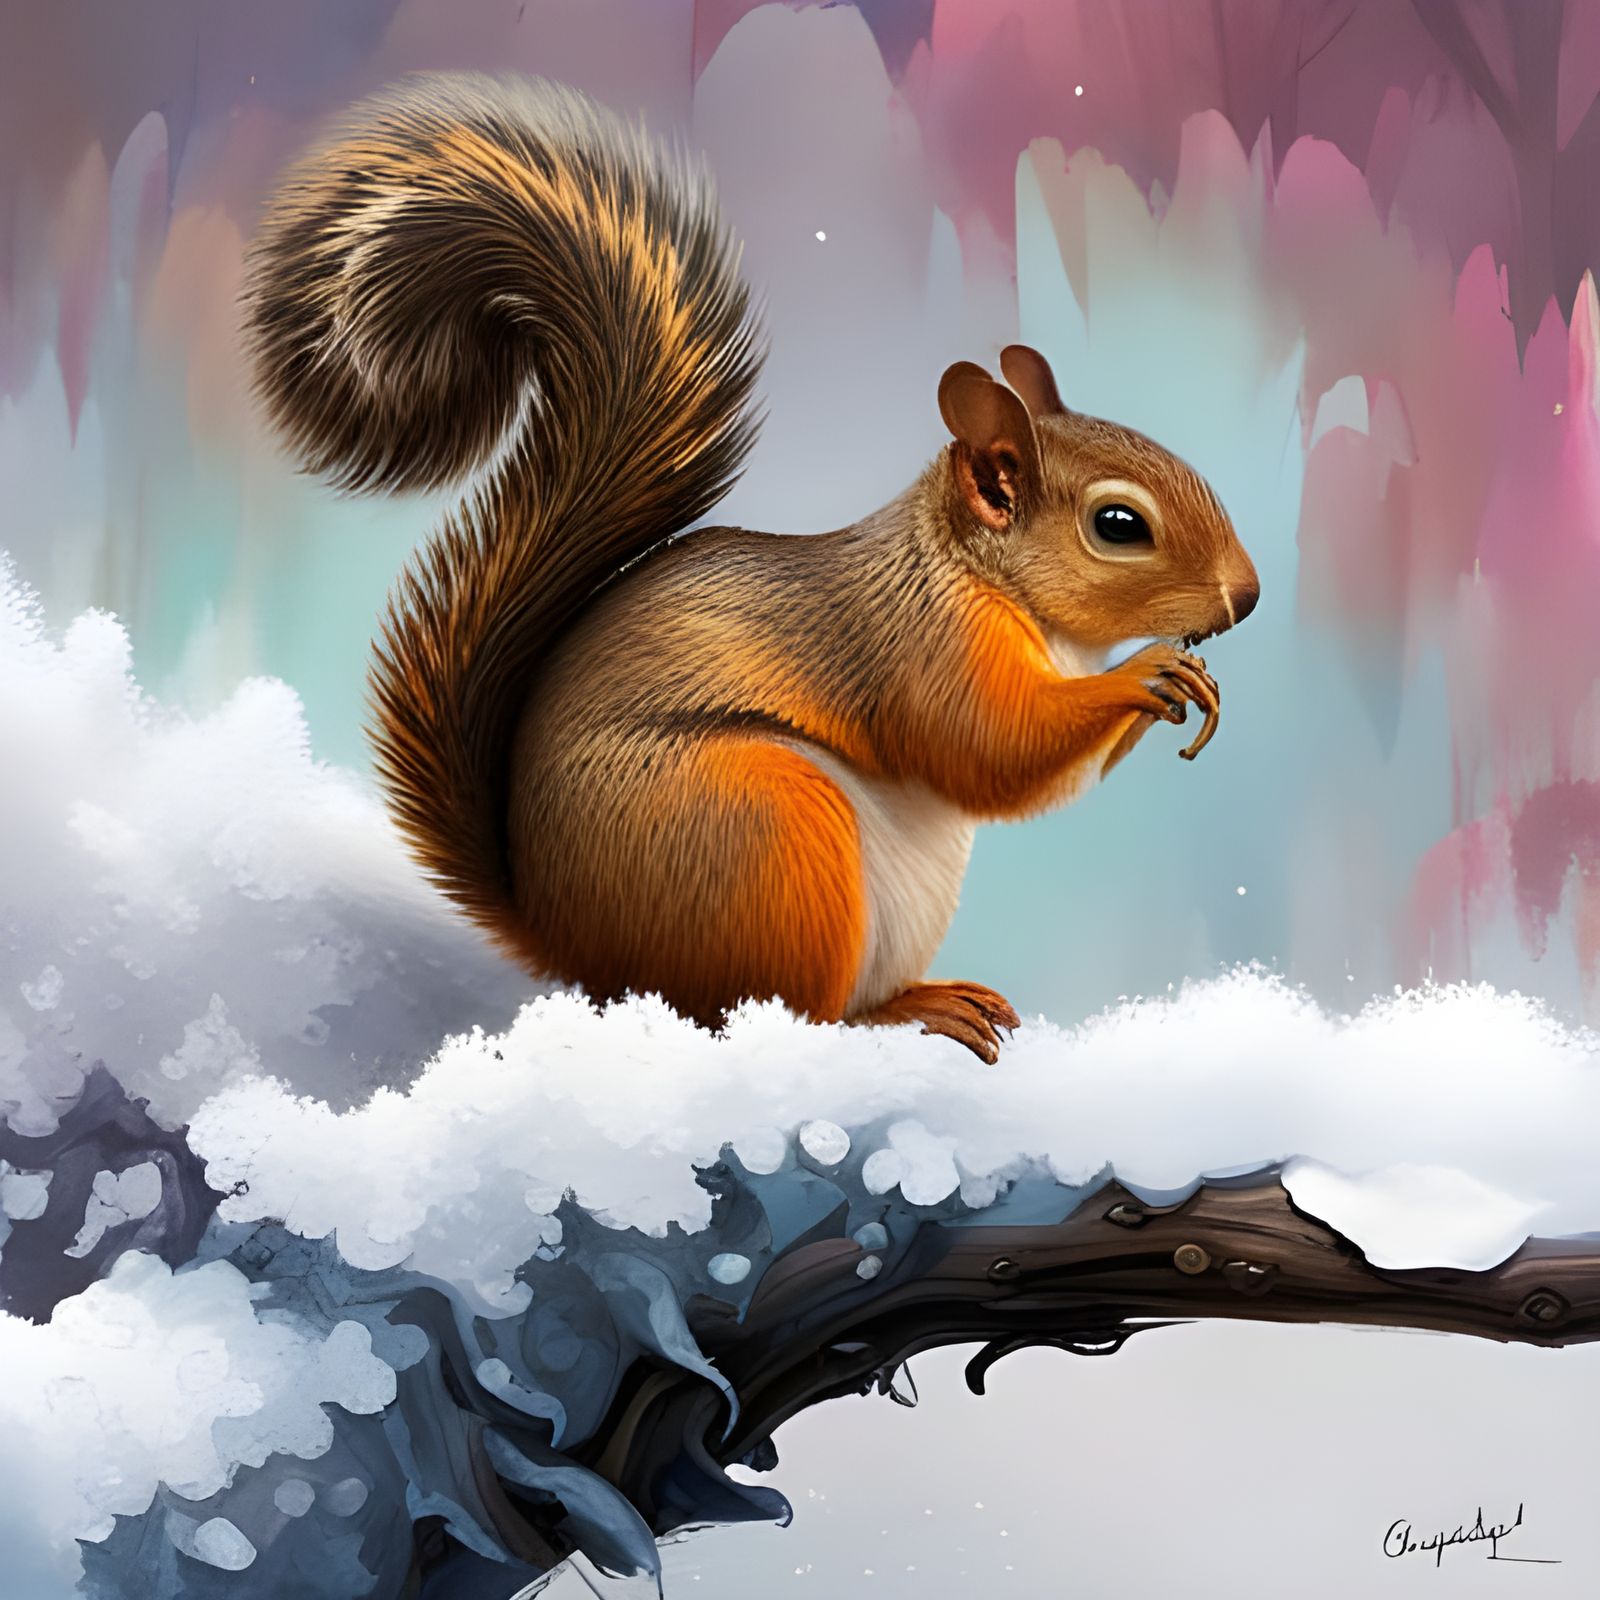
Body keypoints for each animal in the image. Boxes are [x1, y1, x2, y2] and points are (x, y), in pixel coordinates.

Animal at [242, 72, 1259, 1064]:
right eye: (1119, 524)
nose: (1246, 598)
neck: (997, 589)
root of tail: (575, 950)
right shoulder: (918, 645)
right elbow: (991, 751)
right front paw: (1148, 671)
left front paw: (1190, 681)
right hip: (759, 826)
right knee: (771, 1014)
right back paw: (889, 1020)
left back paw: (929, 997)